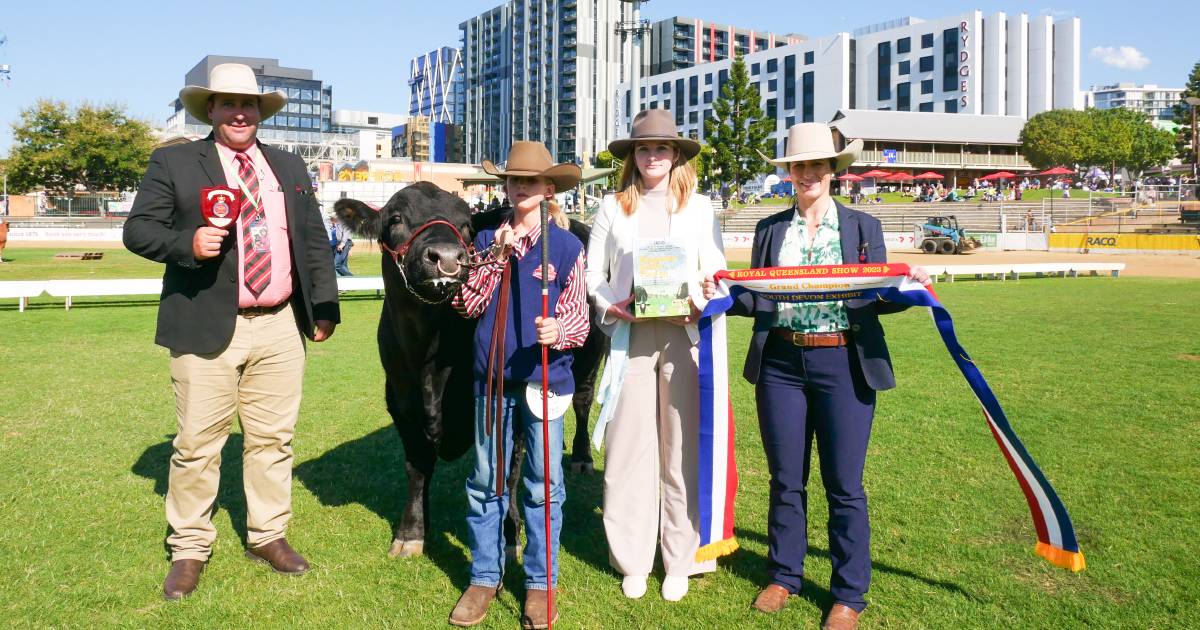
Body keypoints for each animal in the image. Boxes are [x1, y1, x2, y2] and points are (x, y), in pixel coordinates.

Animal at [331, 181, 604, 554]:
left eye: (465, 226)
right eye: (396, 218)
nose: (447, 257)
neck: (428, 357)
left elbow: (509, 471)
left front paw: (510, 532)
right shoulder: (401, 402)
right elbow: (416, 468)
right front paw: (412, 530)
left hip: (592, 356)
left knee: (582, 401)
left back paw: (581, 457)